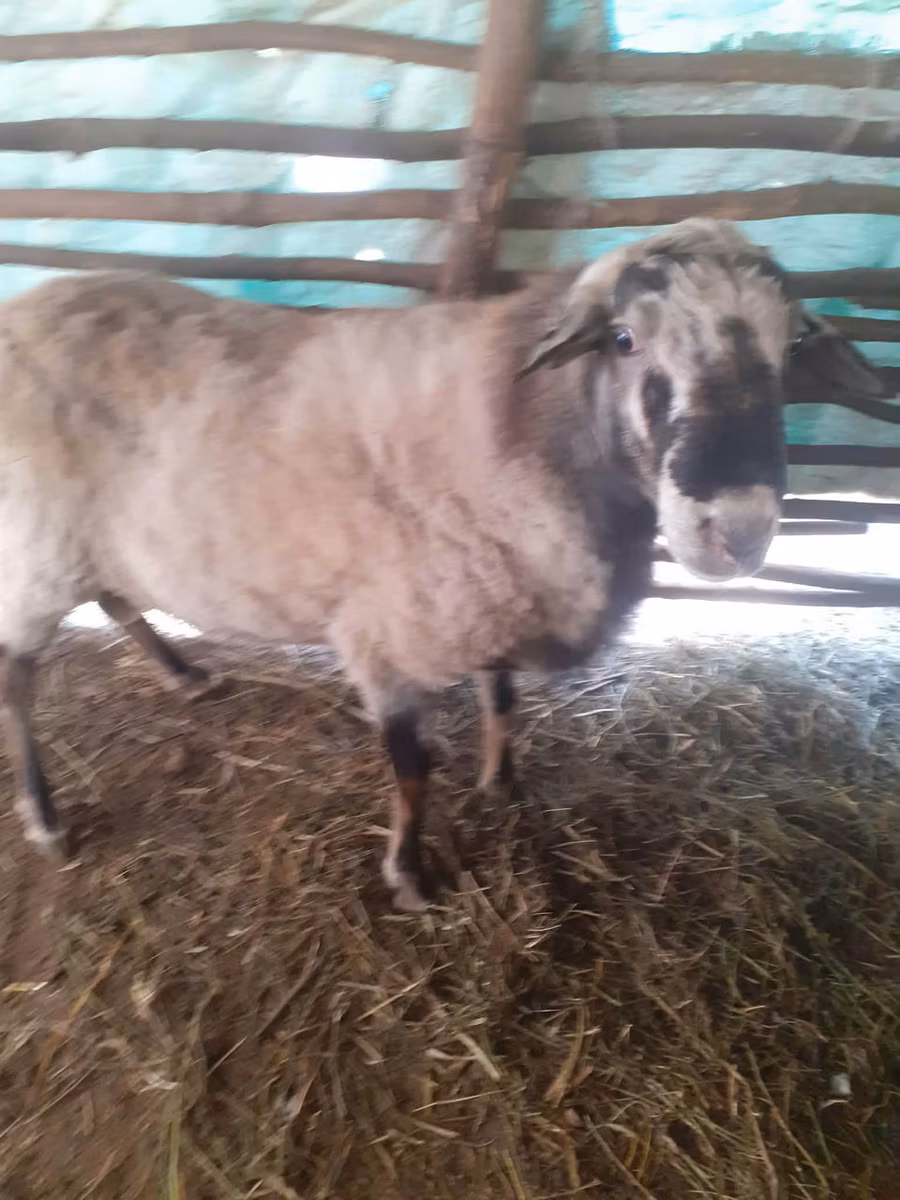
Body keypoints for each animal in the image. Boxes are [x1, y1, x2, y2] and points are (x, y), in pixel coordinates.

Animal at [0, 217, 885, 911]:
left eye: (789, 349)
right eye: (625, 340)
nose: (737, 529)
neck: (519, 418)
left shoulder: (491, 585)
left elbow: (501, 696)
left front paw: (502, 779)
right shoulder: (396, 629)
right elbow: (414, 769)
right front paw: (412, 874)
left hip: (91, 536)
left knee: (114, 596)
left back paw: (184, 674)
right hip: (34, 542)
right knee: (18, 677)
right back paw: (45, 817)